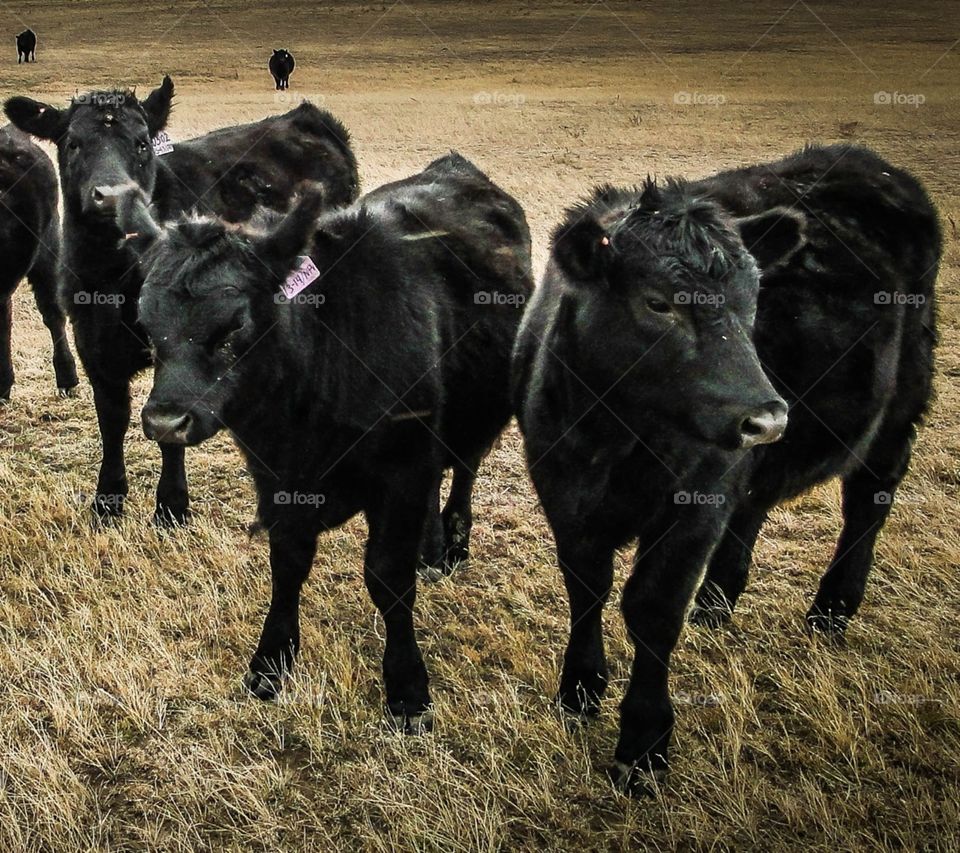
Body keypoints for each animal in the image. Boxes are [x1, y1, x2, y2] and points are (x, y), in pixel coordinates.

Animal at [114, 153, 532, 729]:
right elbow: (288, 563)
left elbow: (387, 577)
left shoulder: (400, 472)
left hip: (477, 415)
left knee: (464, 467)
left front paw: (407, 689)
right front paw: (270, 663)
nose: (164, 422)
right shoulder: (278, 477)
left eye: (234, 325)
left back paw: (452, 541)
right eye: (146, 321)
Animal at [512, 144, 940, 795]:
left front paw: (643, 745)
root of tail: (870, 164)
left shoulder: (694, 503)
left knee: (868, 500)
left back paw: (831, 609)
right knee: (755, 504)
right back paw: (717, 601)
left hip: (899, 405)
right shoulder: (564, 493)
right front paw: (580, 692)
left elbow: (652, 609)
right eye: (658, 302)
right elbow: (586, 588)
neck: (613, 440)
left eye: (753, 298)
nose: (766, 417)